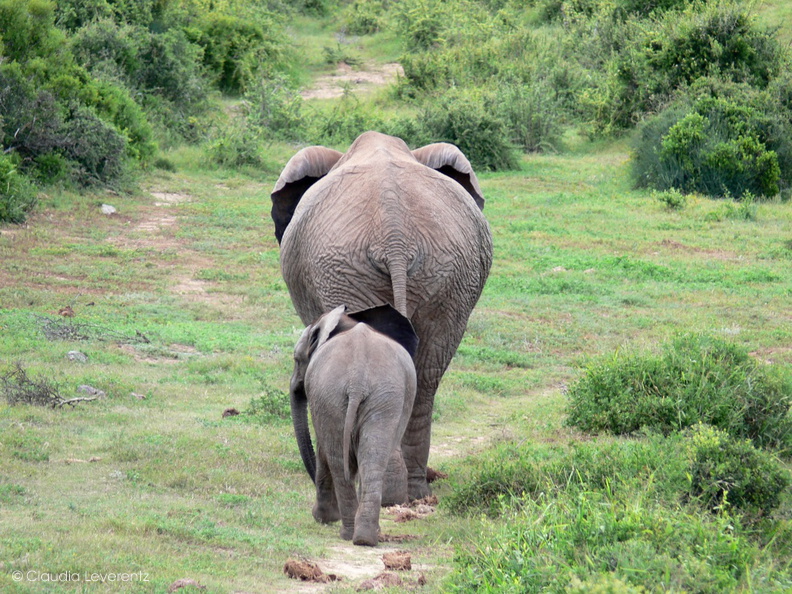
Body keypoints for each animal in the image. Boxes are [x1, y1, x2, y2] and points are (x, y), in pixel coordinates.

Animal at [290, 302, 414, 544]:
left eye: (296, 359)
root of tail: (358, 380)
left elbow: (322, 448)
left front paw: (323, 518)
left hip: (337, 394)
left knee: (340, 459)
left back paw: (348, 531)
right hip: (378, 397)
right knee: (370, 459)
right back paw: (365, 537)